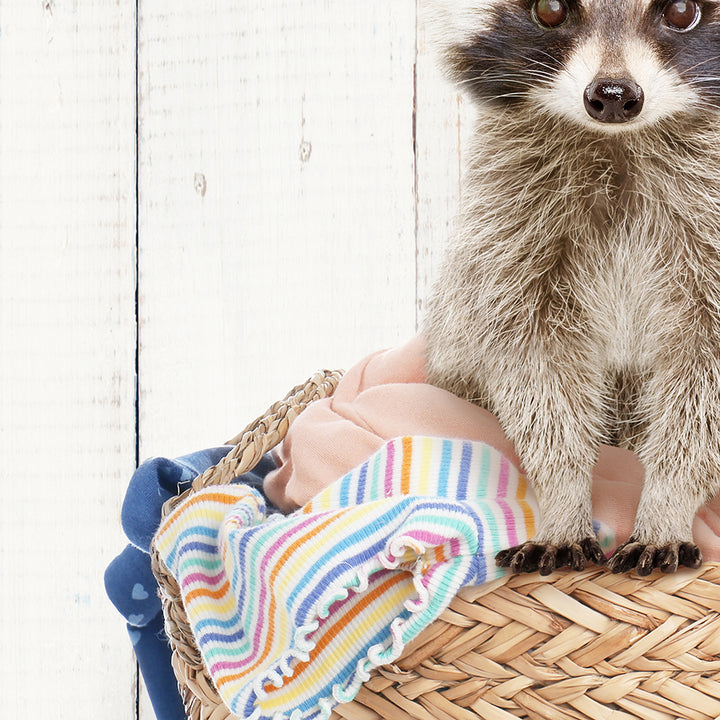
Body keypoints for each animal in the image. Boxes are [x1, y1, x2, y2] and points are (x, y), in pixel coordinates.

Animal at [420, 0, 720, 572]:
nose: (614, 96)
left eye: (682, 11)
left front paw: (667, 501)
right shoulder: (507, 234)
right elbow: (534, 366)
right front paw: (563, 497)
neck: (621, 142)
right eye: (551, 9)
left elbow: (703, 391)